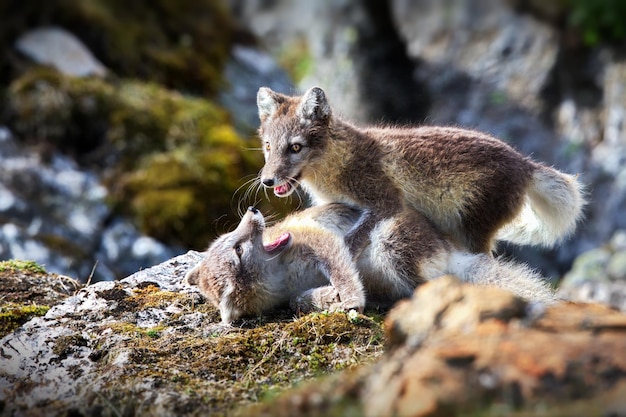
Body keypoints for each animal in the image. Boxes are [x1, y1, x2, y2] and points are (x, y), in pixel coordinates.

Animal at [182, 203, 552, 324]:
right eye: (238, 248)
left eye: (231, 237)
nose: (253, 210)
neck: (282, 276)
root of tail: (451, 247)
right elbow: (298, 301)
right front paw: (323, 298)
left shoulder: (319, 240)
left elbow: (342, 273)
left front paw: (346, 299)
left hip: (388, 245)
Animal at [255, 86, 584, 252]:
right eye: (269, 146)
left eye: (295, 147)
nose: (267, 181)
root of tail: (525, 163)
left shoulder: (386, 202)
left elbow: (350, 240)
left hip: (472, 230)